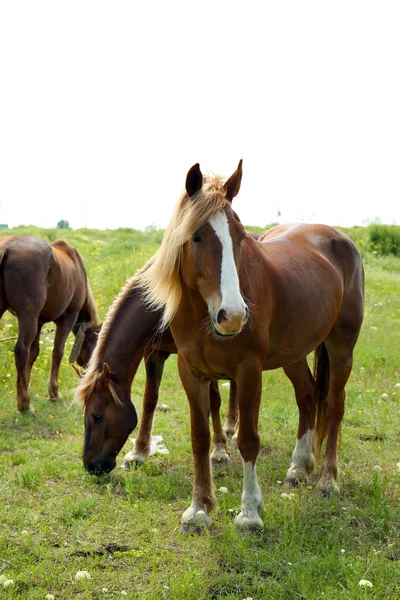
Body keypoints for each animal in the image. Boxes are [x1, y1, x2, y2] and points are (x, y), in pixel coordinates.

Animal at [0, 234, 100, 412]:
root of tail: (6, 248)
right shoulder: (67, 319)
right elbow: (57, 352)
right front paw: (53, 393)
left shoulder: (38, 322)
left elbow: (34, 354)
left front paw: (25, 385)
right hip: (27, 317)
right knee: (21, 351)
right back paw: (25, 405)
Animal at [74, 270, 234, 476]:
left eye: (98, 416)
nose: (91, 466)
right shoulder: (153, 352)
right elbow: (149, 400)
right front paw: (138, 453)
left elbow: (214, 400)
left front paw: (220, 450)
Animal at [135, 162, 366, 532]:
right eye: (196, 236)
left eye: (241, 236)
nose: (233, 316)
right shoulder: (191, 371)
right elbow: (199, 438)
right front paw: (198, 509)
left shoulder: (248, 371)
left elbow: (247, 439)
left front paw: (249, 512)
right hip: (294, 353)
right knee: (307, 395)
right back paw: (299, 468)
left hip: (341, 346)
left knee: (333, 405)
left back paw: (328, 480)